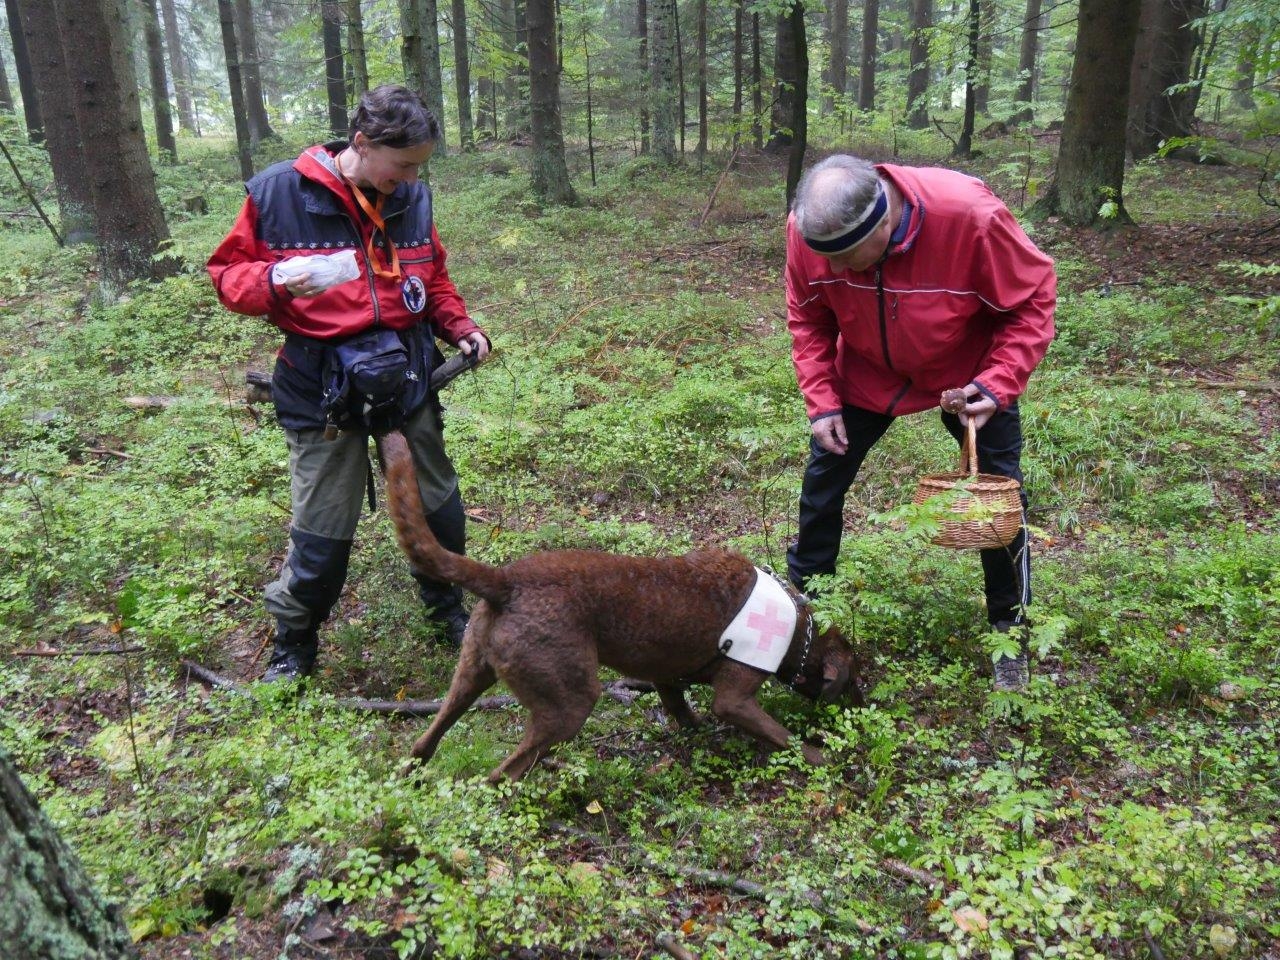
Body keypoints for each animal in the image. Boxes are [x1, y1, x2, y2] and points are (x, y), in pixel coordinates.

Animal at [376, 432, 860, 783]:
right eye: (852, 680)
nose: (860, 702)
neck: (797, 631)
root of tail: (506, 582)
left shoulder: (665, 673)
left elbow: (681, 709)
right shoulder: (735, 698)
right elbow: (782, 736)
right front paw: (822, 756)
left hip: (472, 670)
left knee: (428, 738)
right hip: (570, 699)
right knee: (504, 773)